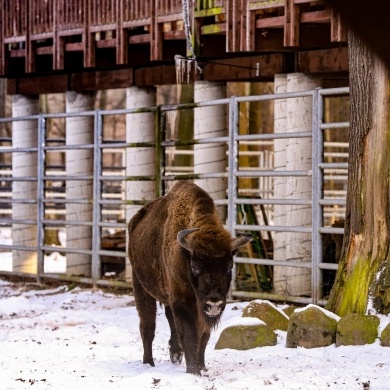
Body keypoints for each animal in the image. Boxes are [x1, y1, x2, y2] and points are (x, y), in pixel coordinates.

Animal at [126, 182, 251, 374]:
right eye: (195, 267)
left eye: (229, 267)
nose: (214, 303)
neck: (185, 253)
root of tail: (135, 221)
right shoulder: (183, 300)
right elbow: (190, 334)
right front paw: (193, 370)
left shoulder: (197, 307)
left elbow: (203, 336)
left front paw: (201, 367)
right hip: (140, 285)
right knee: (147, 326)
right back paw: (148, 363)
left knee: (169, 320)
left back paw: (176, 355)